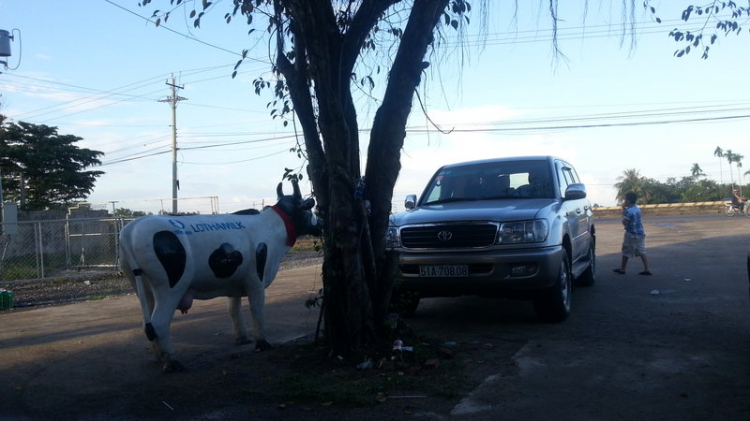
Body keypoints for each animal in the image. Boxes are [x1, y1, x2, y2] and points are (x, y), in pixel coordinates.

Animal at [119, 180, 318, 370]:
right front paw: (262, 343)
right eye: (308, 209)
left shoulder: (235, 279)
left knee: (147, 323)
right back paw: (172, 363)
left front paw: (242, 338)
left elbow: (233, 309)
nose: (321, 221)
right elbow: (257, 309)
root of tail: (130, 230)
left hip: (142, 286)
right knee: (159, 323)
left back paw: (159, 357)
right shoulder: (256, 278)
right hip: (170, 287)